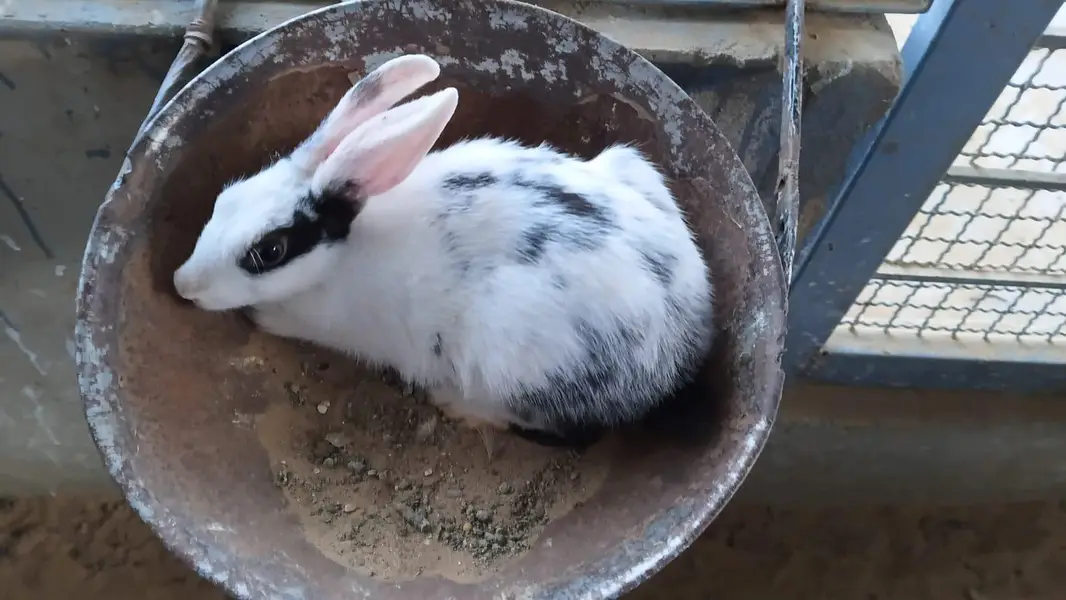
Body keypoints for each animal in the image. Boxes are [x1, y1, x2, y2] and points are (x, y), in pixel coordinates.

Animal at [173, 54, 715, 457]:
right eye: (225, 199)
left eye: (270, 250)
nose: (183, 284)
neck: (341, 258)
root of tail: (687, 341)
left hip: (510, 348)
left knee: (569, 434)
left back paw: (458, 405)